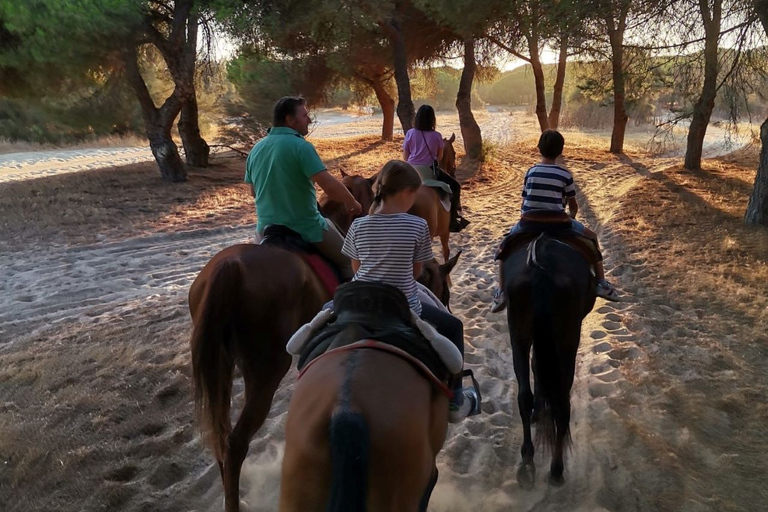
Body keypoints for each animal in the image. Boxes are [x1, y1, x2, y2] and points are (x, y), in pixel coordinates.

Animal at [500, 235, 596, 484]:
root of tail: (540, 268)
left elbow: (537, 367)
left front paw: (538, 409)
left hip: (519, 334)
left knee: (524, 395)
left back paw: (527, 459)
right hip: (567, 340)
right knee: (562, 403)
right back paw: (556, 468)